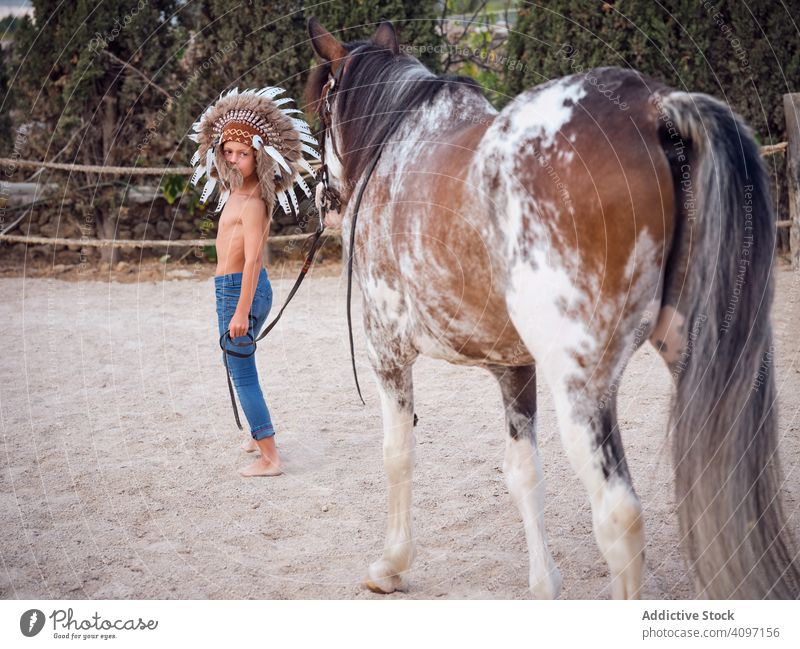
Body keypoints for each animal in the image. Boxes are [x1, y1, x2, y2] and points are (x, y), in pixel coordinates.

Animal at [304, 19, 796, 596]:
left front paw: (392, 565)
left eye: (321, 109)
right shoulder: (514, 367)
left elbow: (397, 455)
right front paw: (543, 584)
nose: (323, 200)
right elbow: (525, 474)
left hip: (581, 386)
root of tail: (655, 108)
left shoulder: (388, 351)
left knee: (620, 518)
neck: (398, 148)